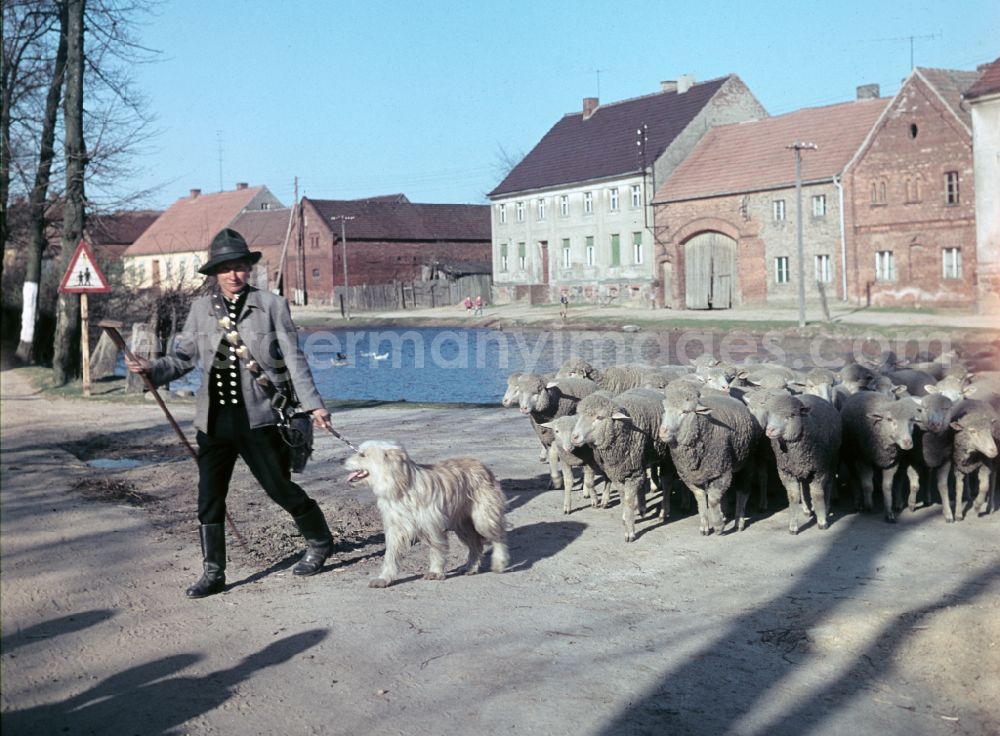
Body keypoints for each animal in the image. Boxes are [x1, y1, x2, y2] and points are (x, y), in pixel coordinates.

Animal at [348, 440, 512, 588]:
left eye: (362, 455)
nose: (343, 460)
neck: (401, 485)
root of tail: (482, 466)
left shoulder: (432, 525)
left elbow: (437, 549)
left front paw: (435, 571)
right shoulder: (395, 528)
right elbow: (390, 555)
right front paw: (384, 578)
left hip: (483, 518)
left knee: (499, 537)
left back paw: (499, 562)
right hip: (462, 525)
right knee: (476, 545)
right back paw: (471, 567)